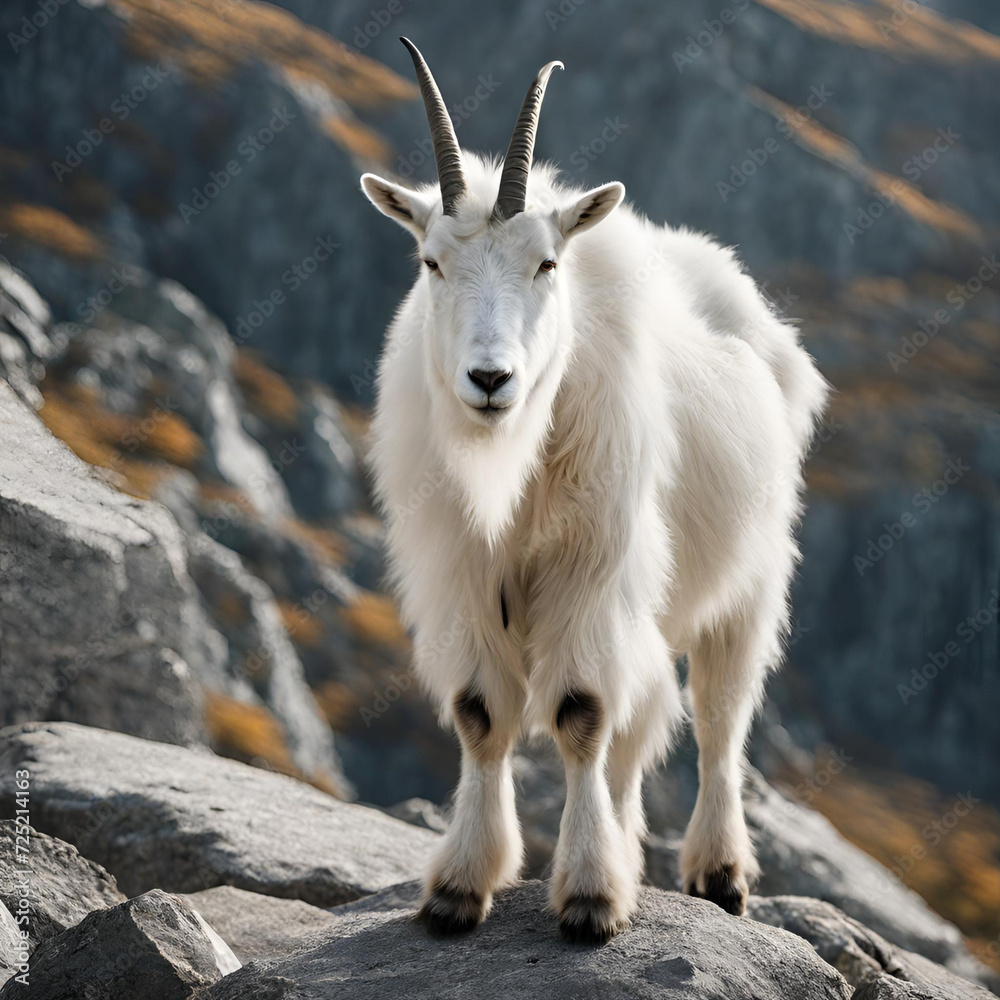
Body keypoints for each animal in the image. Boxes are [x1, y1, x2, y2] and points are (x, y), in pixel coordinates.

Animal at [360, 38, 828, 943]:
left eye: (546, 263)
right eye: (432, 263)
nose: (490, 380)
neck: (511, 464)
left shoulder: (591, 566)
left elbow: (579, 712)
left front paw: (587, 898)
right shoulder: (462, 571)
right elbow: (481, 713)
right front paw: (458, 888)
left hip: (750, 577)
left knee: (718, 718)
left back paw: (719, 875)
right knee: (638, 727)